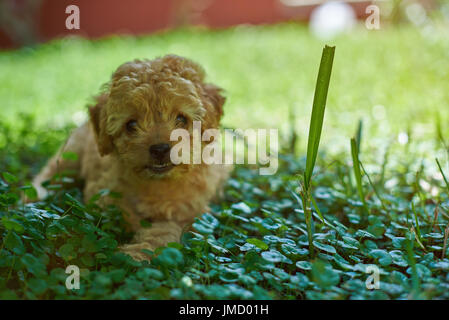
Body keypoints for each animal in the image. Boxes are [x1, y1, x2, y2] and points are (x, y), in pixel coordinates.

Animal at [34, 54, 231, 260]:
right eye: (131, 125)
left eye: (181, 119)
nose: (160, 149)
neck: (157, 183)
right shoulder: (102, 191)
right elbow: (120, 211)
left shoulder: (192, 211)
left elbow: (165, 230)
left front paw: (136, 252)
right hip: (71, 153)